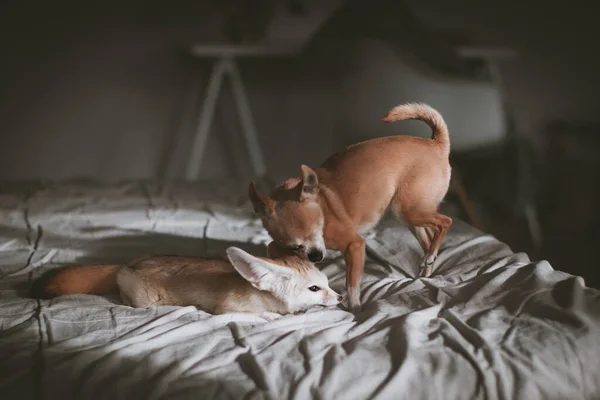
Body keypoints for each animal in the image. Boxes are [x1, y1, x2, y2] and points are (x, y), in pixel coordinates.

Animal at [247, 104, 450, 312]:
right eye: (295, 246)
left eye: (318, 229)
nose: (316, 256)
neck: (323, 207)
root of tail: (436, 144)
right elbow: (271, 246)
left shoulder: (355, 245)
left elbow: (351, 282)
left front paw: (355, 308)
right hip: (407, 213)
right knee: (428, 235)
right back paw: (427, 267)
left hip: (408, 210)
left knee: (444, 222)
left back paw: (431, 255)